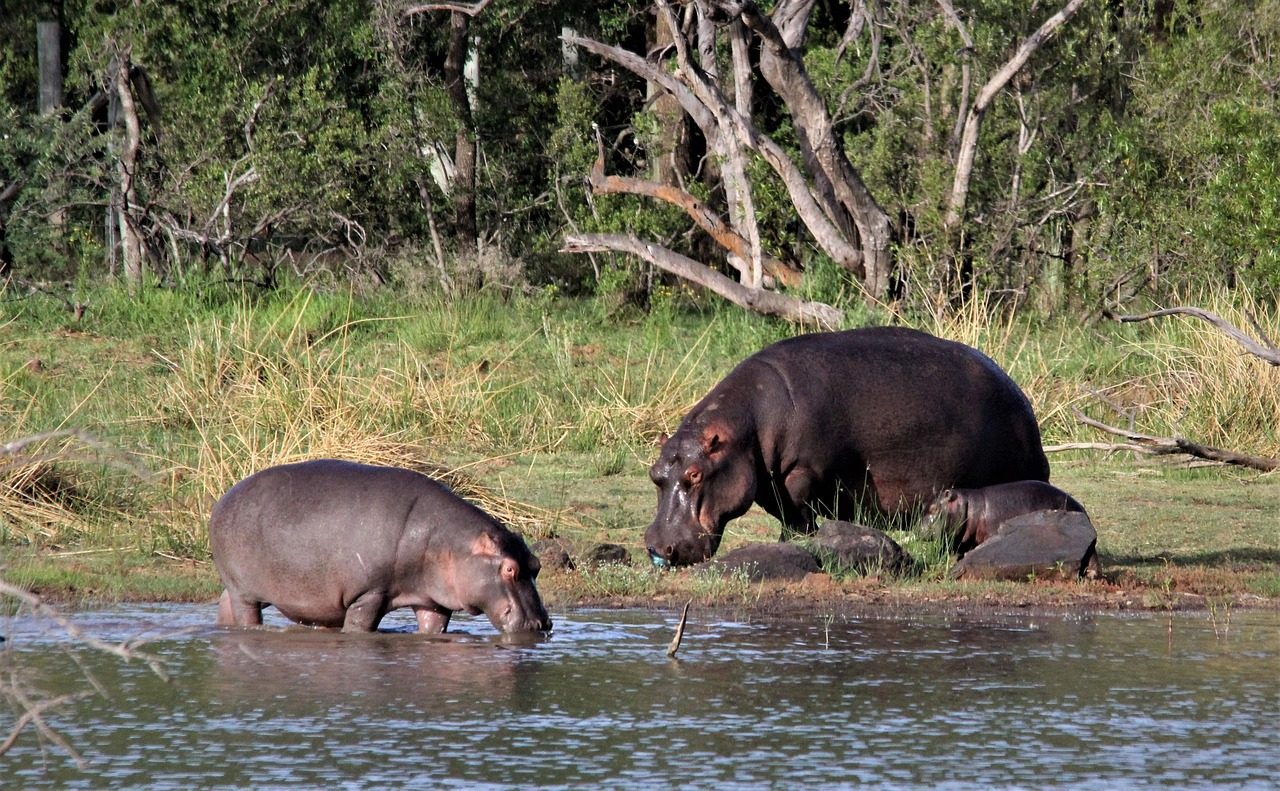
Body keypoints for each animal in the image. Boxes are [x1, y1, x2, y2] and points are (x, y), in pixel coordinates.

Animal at [210, 459, 551, 634]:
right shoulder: (369, 594)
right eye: (509, 569)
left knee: (224, 606)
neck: (453, 544)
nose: (541, 623)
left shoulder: (432, 600)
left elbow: (433, 627)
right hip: (244, 592)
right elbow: (360, 627)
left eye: (536, 565)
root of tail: (224, 498)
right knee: (246, 614)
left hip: (241, 587)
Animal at [645, 327, 1050, 567]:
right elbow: (786, 513)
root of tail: (1022, 400)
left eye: (695, 474)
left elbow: (798, 516)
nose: (657, 547)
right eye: (655, 475)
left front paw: (795, 543)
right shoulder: (769, 480)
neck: (745, 427)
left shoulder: (800, 473)